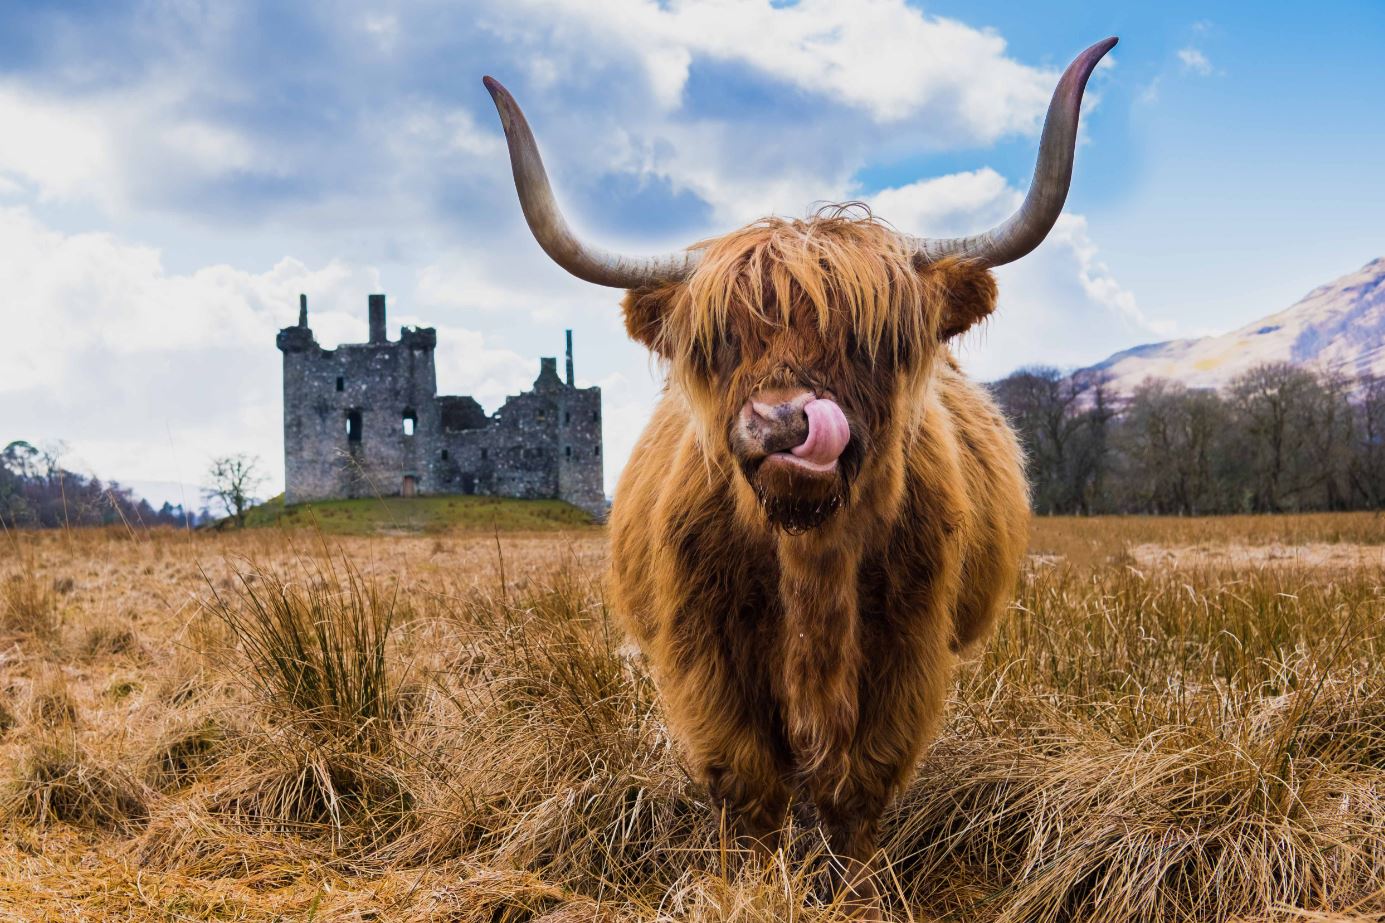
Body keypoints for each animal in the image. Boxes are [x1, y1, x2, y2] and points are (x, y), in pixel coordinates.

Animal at [487, 36, 1113, 903]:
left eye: (870, 339)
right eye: (720, 342)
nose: (782, 423)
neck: (810, 559)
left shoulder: (908, 653)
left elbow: (858, 786)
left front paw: (853, 892)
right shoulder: (703, 657)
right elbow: (748, 784)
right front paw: (750, 884)